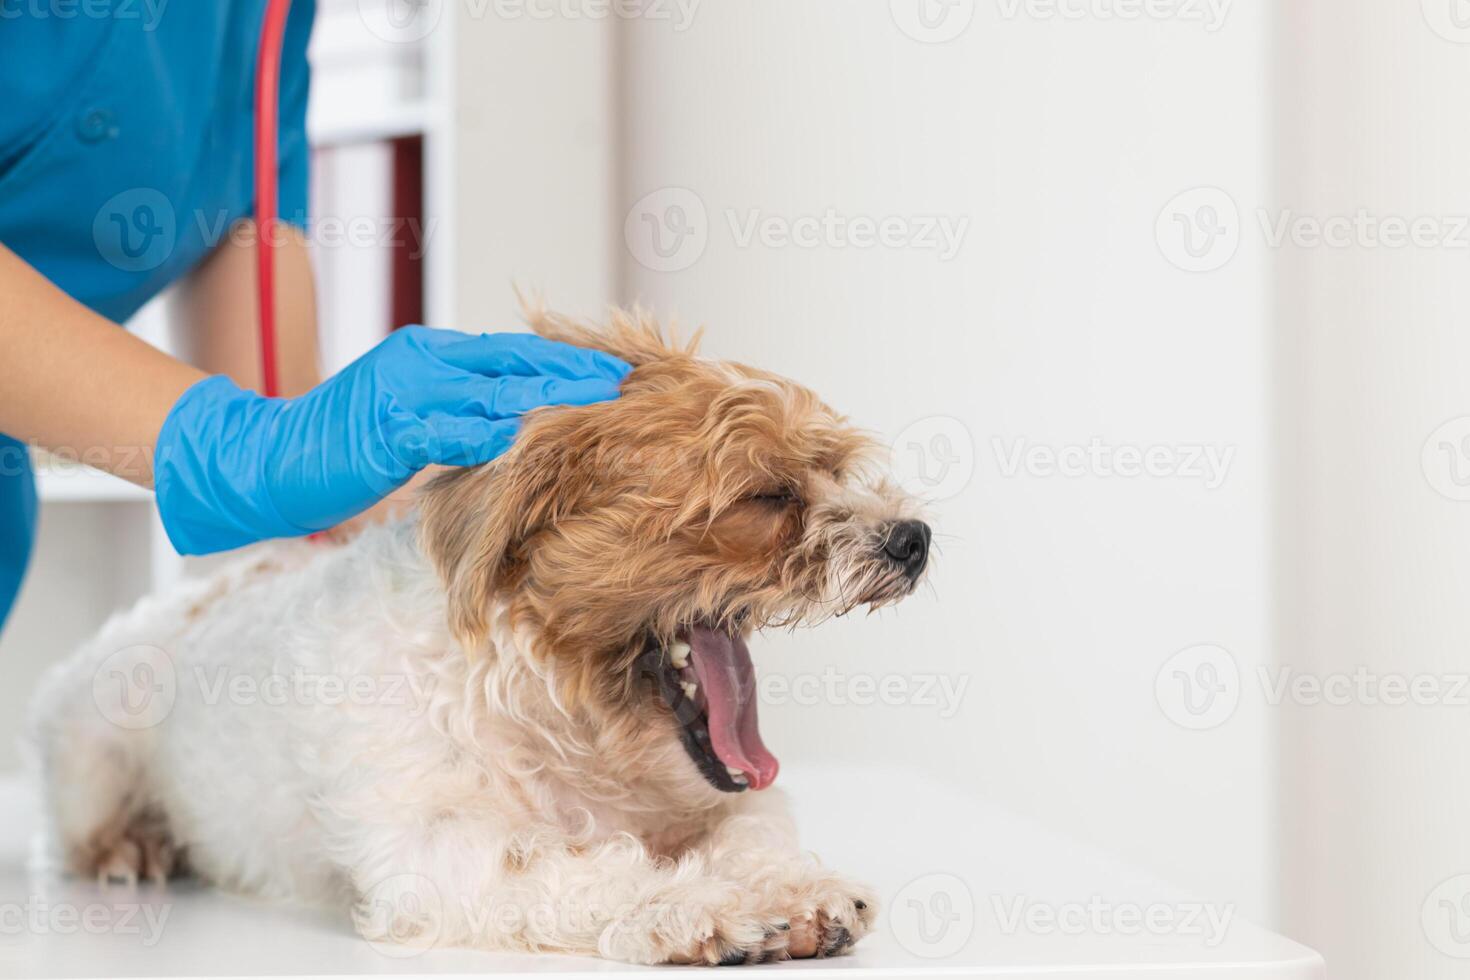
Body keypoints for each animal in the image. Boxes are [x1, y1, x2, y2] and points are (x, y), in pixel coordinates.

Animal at [25, 307, 929, 963]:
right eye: (768, 496)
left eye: (836, 468)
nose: (912, 537)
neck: (552, 704)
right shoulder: (435, 854)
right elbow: (581, 867)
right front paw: (696, 906)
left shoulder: (732, 797)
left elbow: (751, 828)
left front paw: (792, 891)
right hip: (93, 759)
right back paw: (134, 846)